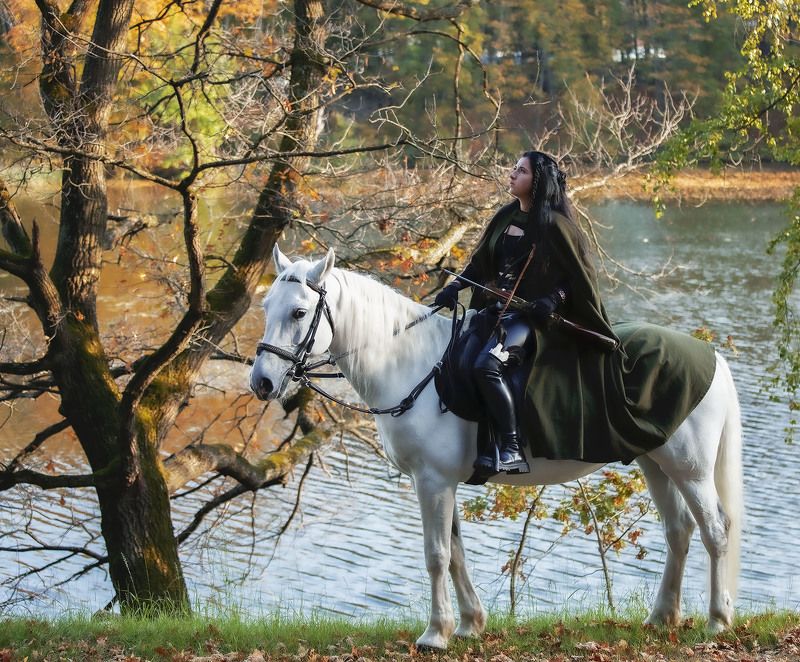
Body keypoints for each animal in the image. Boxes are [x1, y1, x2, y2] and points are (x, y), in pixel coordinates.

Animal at [249, 245, 743, 650]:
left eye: (298, 313)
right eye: (266, 306)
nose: (262, 383)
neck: (412, 364)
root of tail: (711, 357)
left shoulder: (433, 482)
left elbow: (436, 556)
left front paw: (435, 634)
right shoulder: (440, 483)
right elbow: (456, 554)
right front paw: (469, 623)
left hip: (692, 469)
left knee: (715, 529)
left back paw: (717, 621)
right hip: (655, 462)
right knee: (679, 530)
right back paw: (662, 617)